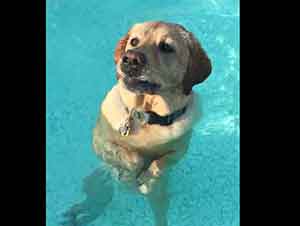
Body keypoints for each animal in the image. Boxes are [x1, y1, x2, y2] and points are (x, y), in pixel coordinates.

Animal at [92, 21, 212, 226]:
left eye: (166, 47)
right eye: (134, 41)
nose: (130, 59)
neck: (146, 116)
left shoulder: (180, 150)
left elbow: (161, 162)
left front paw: (146, 178)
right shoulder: (99, 142)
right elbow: (131, 156)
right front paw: (130, 172)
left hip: (161, 201)